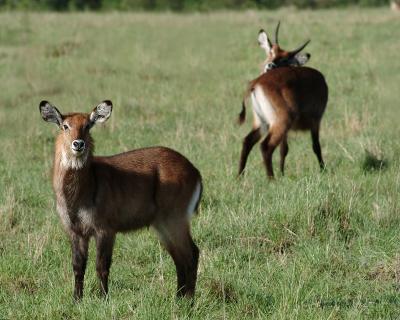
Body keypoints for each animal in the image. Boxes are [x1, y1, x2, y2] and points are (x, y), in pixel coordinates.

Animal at [40, 100, 202, 300]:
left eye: (87, 126)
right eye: (65, 126)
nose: (78, 144)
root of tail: (194, 170)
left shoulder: (105, 230)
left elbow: (101, 266)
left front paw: (103, 299)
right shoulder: (75, 232)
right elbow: (78, 267)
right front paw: (76, 299)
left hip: (175, 220)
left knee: (191, 254)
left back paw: (189, 300)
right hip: (163, 225)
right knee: (180, 258)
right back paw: (178, 298)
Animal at [238, 23, 328, 178]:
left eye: (285, 59)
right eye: (271, 52)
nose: (270, 65)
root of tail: (256, 83)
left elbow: (284, 149)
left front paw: (282, 173)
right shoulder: (316, 121)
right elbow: (316, 146)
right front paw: (323, 170)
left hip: (262, 122)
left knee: (247, 141)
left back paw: (239, 177)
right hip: (281, 121)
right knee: (265, 146)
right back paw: (271, 179)